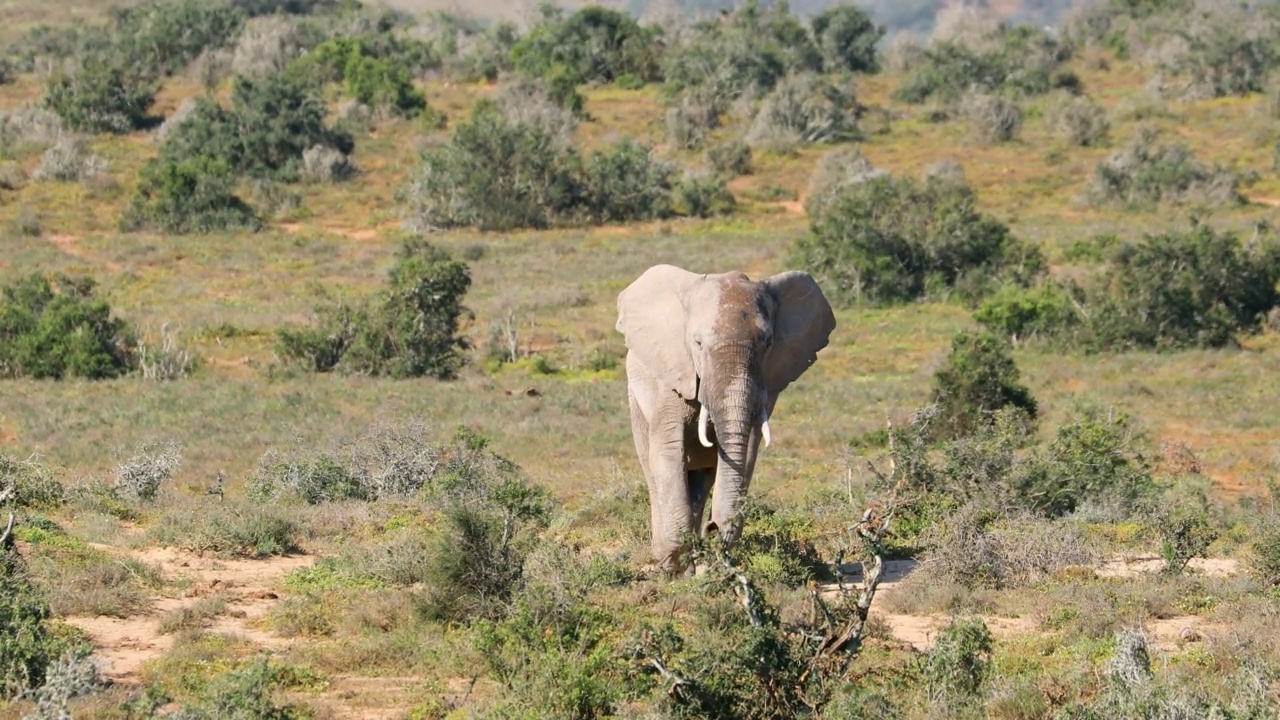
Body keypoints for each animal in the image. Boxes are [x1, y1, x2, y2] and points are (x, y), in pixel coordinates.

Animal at [614, 263, 834, 571]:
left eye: (767, 343)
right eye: (697, 343)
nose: (713, 528)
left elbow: (748, 449)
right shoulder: (670, 377)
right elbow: (669, 449)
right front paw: (673, 567)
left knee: (701, 482)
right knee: (655, 472)